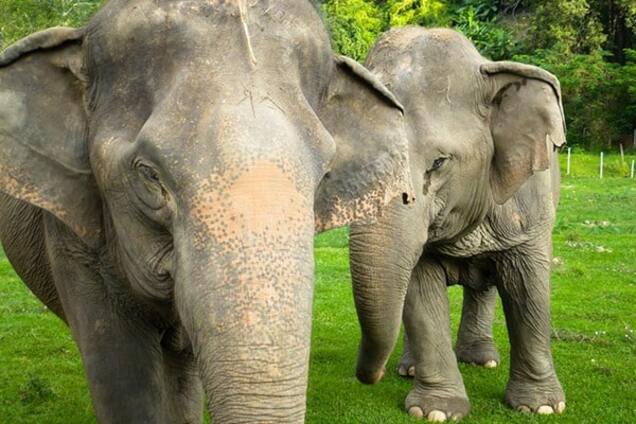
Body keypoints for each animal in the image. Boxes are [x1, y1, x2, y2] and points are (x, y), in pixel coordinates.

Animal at [350, 28, 568, 422]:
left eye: (438, 162)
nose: (371, 376)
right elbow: (420, 291)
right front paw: (435, 412)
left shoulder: (530, 204)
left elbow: (528, 286)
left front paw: (542, 406)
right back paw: (412, 369)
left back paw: (481, 361)